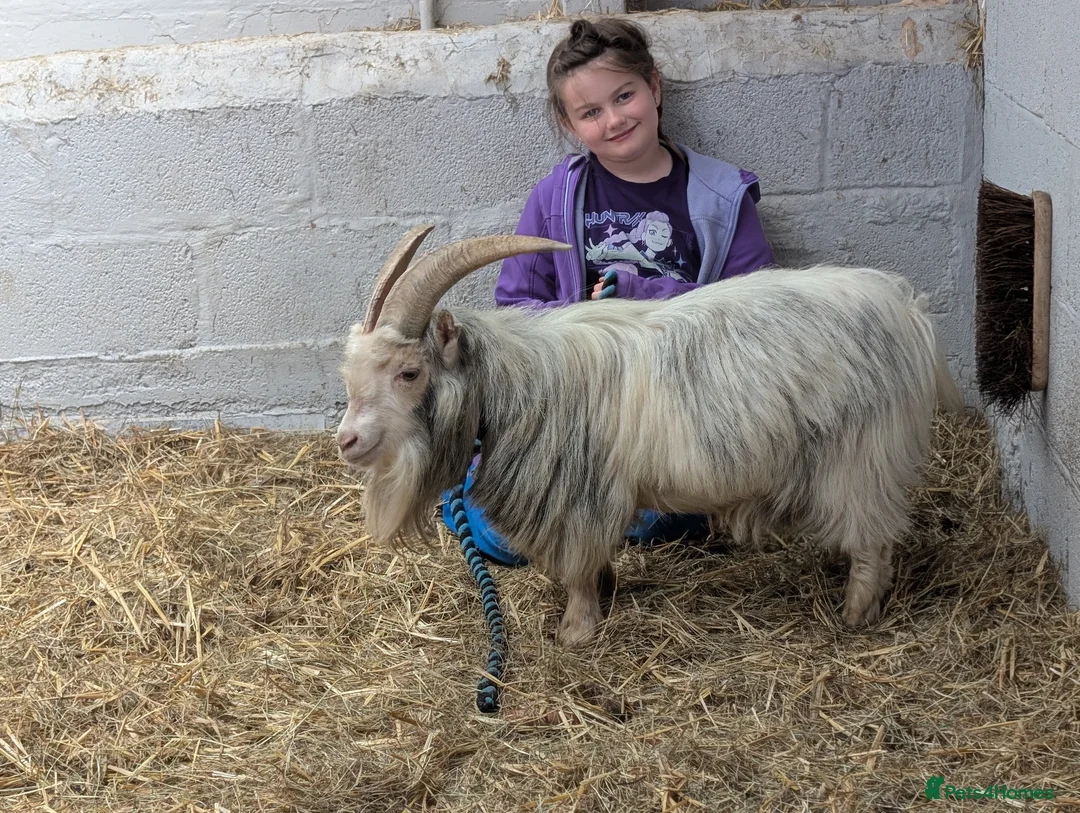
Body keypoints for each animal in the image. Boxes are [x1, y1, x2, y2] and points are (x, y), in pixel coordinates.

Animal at [335, 225, 964, 646]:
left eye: (409, 372)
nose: (347, 442)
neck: (522, 386)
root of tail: (909, 312)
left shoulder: (576, 499)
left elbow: (578, 569)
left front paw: (575, 632)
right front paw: (607, 592)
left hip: (859, 453)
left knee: (873, 537)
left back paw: (856, 613)